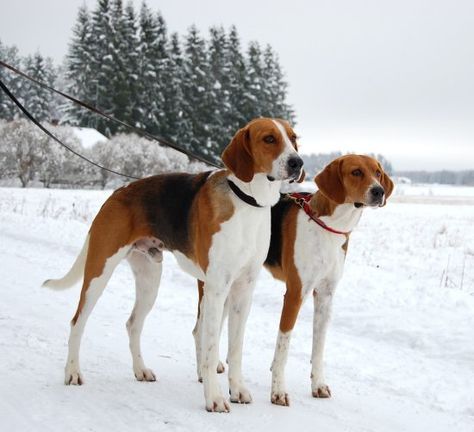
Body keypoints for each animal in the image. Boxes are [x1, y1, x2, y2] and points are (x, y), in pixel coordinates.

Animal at [43, 117, 304, 412]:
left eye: (294, 138)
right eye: (269, 138)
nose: (297, 163)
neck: (247, 201)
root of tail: (117, 192)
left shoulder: (243, 290)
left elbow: (235, 348)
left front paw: (237, 389)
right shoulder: (216, 289)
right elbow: (210, 348)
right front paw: (214, 398)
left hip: (149, 279)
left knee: (133, 324)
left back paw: (140, 370)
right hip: (99, 272)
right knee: (77, 322)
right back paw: (72, 372)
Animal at [264, 154, 394, 404]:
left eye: (378, 172)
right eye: (356, 172)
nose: (379, 191)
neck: (329, 226)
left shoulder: (325, 295)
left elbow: (319, 347)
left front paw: (318, 384)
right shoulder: (295, 294)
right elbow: (283, 346)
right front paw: (278, 391)